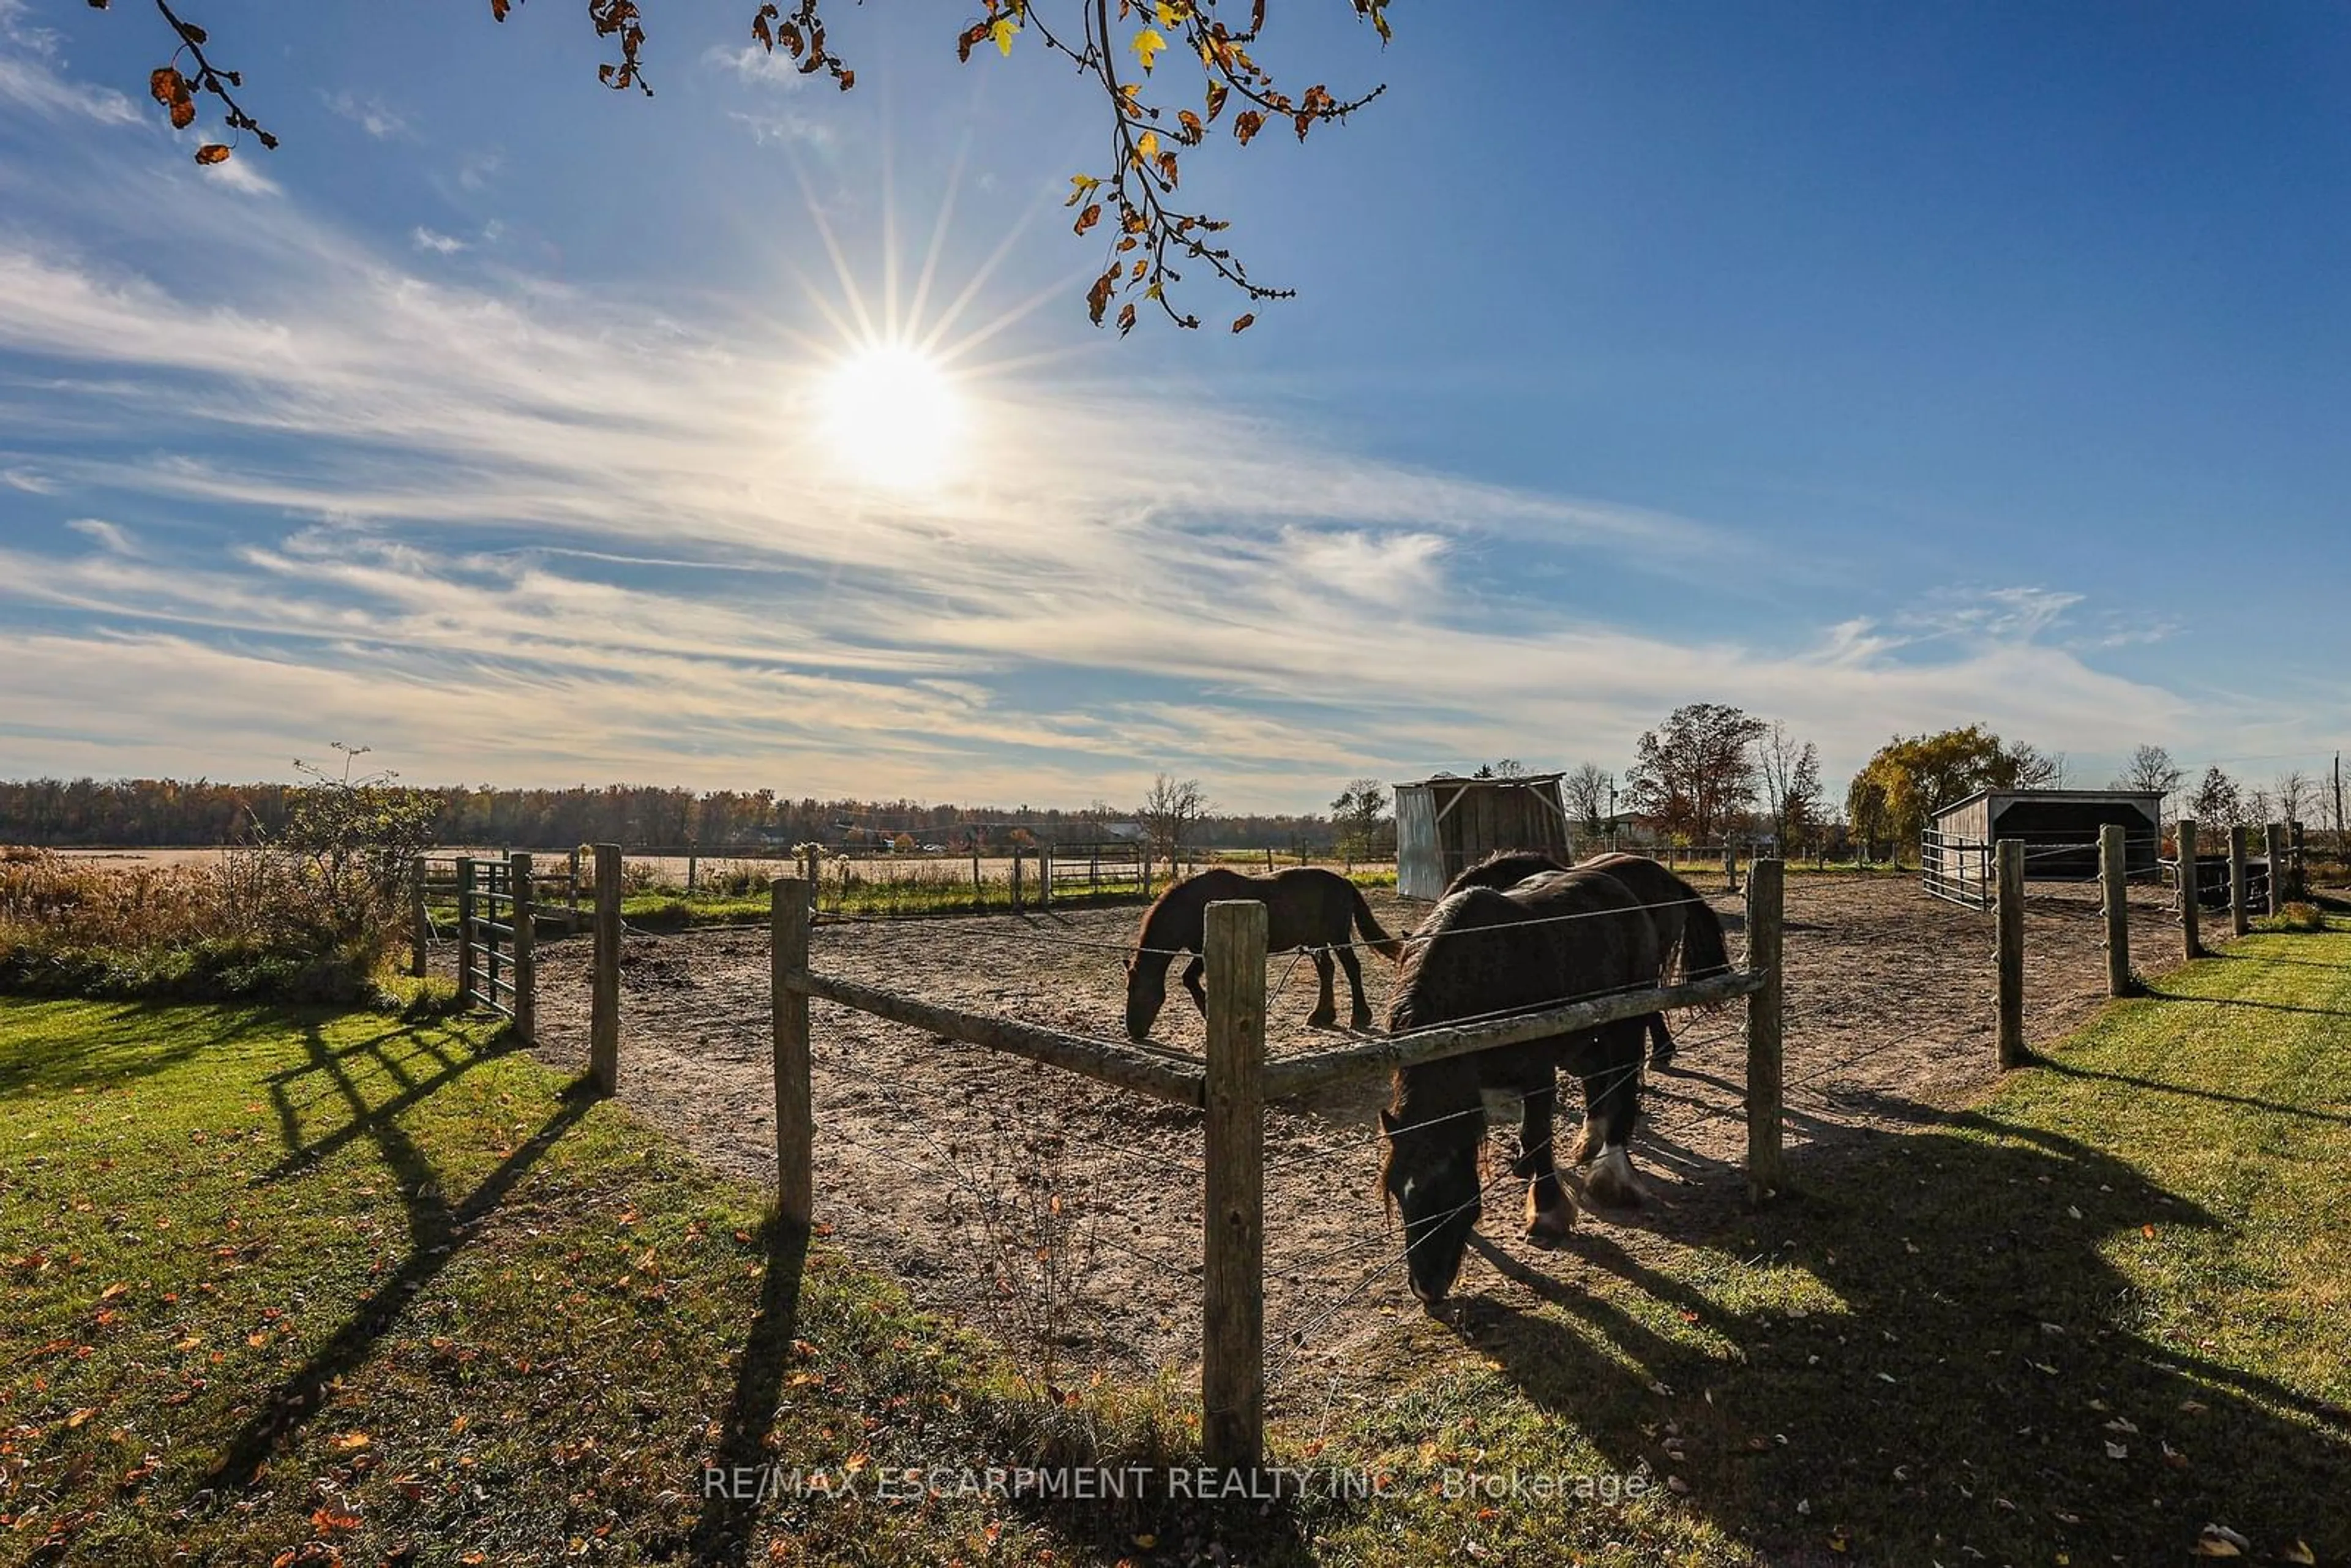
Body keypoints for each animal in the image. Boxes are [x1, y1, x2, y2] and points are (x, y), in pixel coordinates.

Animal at [1119, 860, 1392, 1043]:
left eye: (1138, 991)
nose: (1134, 1032)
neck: (1194, 905)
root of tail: (1345, 882)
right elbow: (1190, 979)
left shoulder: (1205, 953)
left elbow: (1188, 979)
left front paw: (1208, 1012)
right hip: (1317, 940)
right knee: (1327, 970)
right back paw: (1322, 1016)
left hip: (1337, 937)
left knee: (1352, 968)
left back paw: (1360, 1017)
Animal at [1373, 865, 1664, 1307]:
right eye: (1399, 1195)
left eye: (1450, 1196)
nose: (1427, 1289)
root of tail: (1618, 888)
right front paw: (1527, 1168)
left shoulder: (1538, 1068)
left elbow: (1537, 1132)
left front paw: (1545, 1214)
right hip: (1578, 1037)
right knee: (1596, 1071)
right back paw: (1589, 1138)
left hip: (1625, 1019)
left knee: (1625, 1076)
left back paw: (1612, 1171)